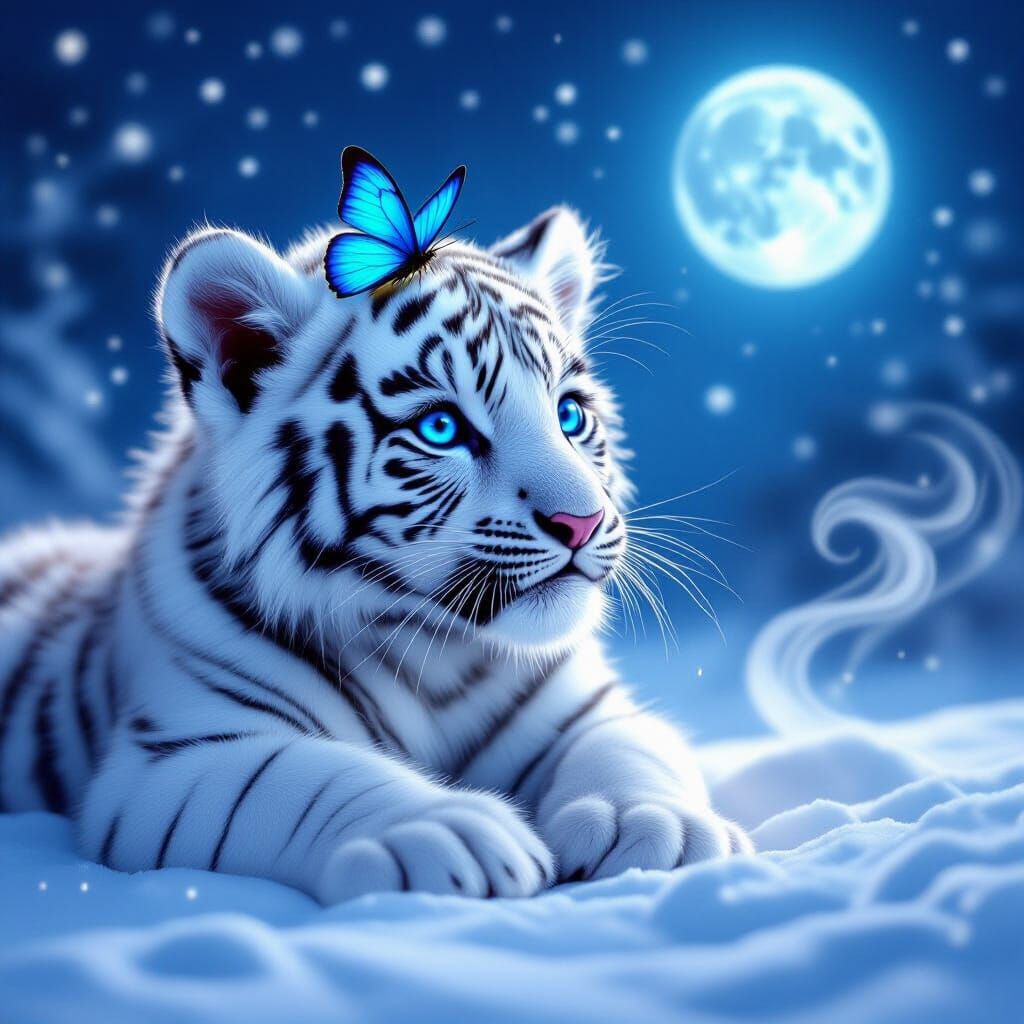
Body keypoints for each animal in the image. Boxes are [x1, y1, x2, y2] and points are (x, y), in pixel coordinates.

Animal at [0, 206, 751, 903]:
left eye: (569, 414)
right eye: (441, 428)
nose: (582, 521)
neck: (435, 652)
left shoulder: (584, 709)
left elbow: (629, 749)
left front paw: (656, 824)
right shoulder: (179, 758)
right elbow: (309, 778)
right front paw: (452, 829)